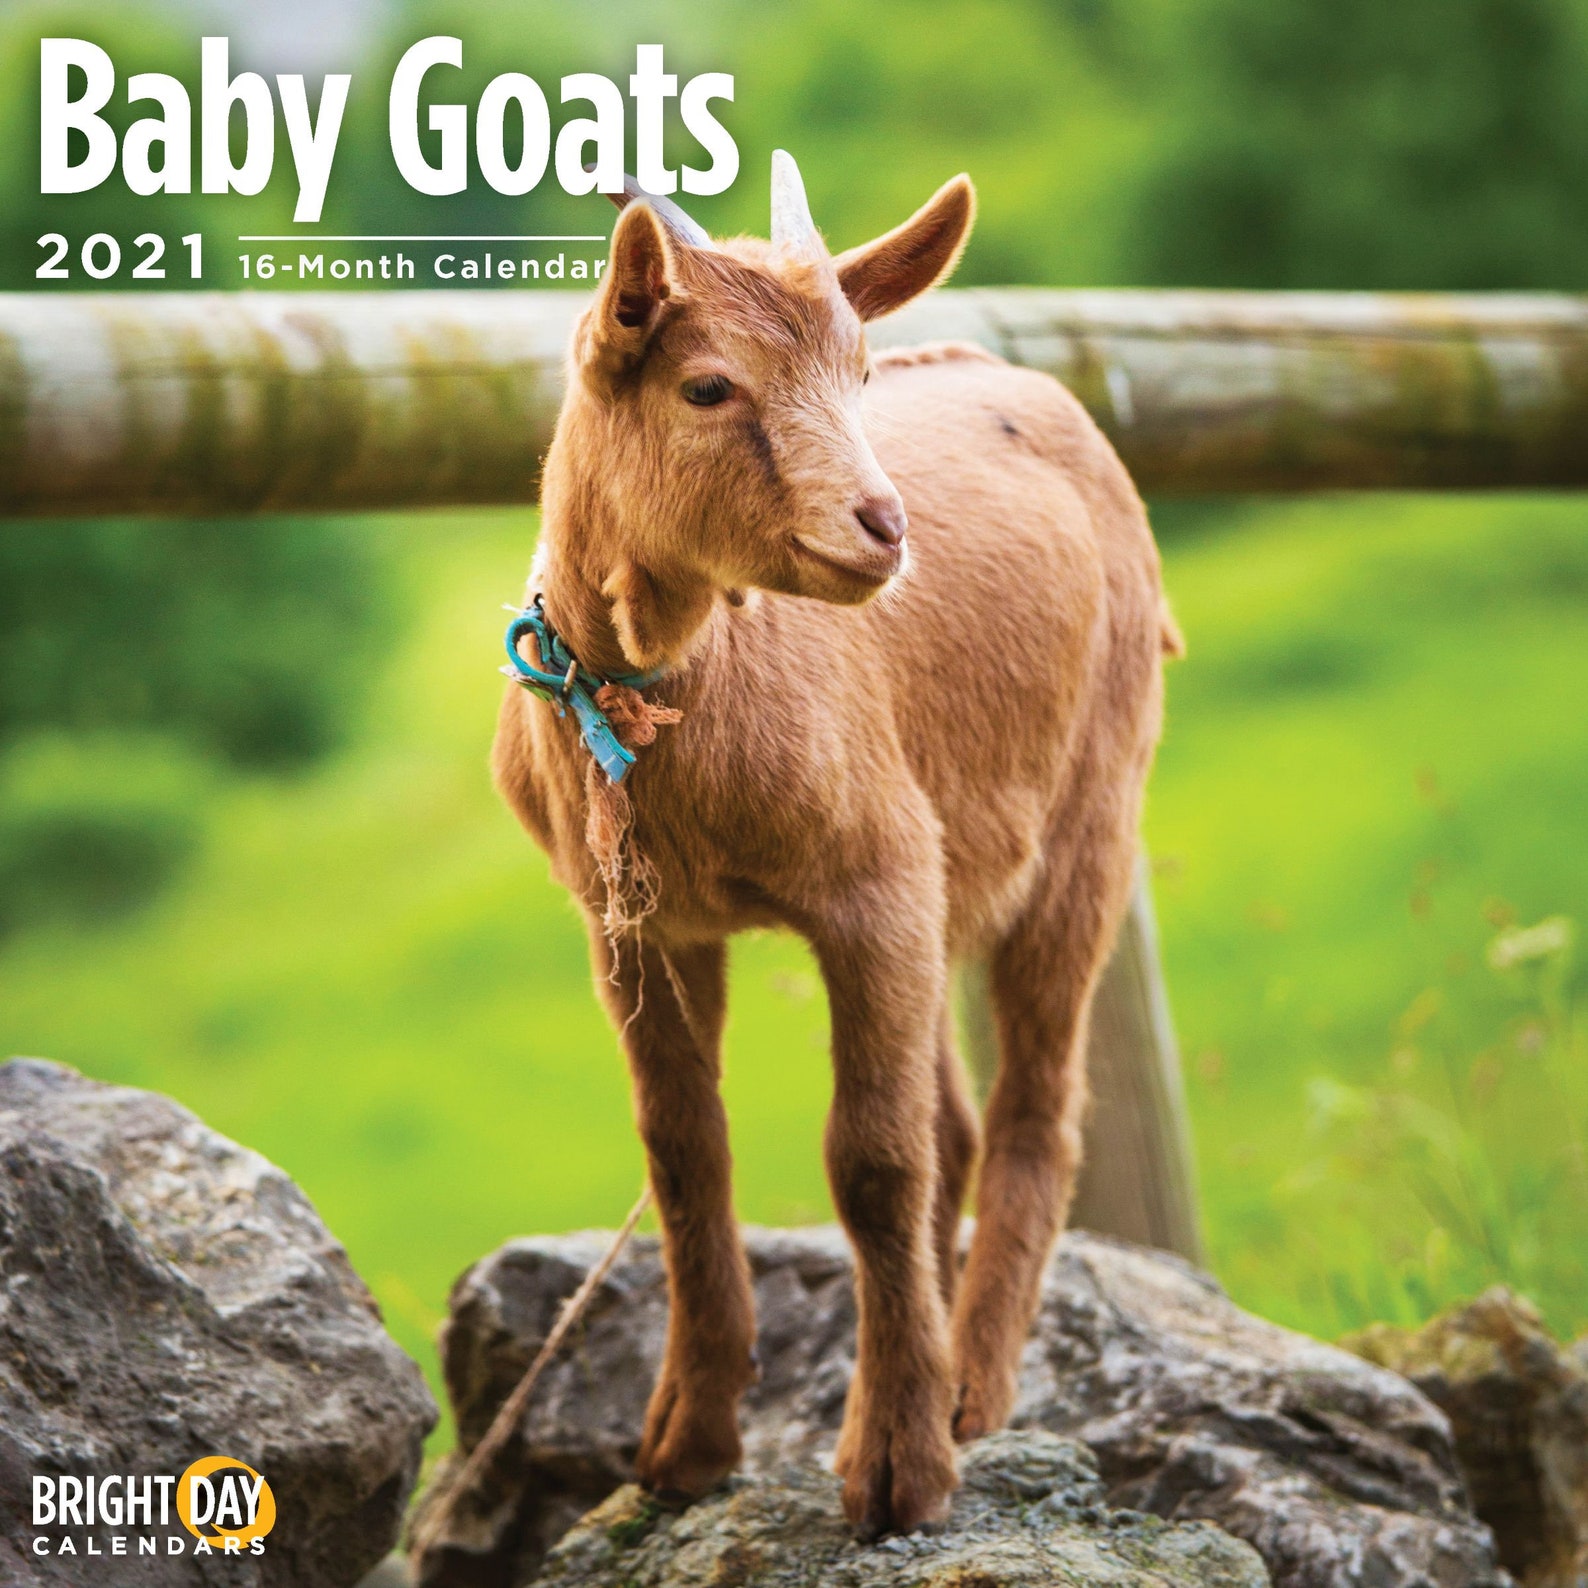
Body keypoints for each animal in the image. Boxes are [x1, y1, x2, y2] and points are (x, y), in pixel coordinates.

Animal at [492, 152, 1178, 1537]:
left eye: (861, 373)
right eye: (707, 384)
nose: (881, 525)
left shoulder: (874, 876)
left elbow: (870, 1158)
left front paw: (897, 1469)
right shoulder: (637, 924)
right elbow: (683, 1148)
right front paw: (684, 1443)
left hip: (1089, 812)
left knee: (1033, 1105)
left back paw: (972, 1385)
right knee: (957, 1117)